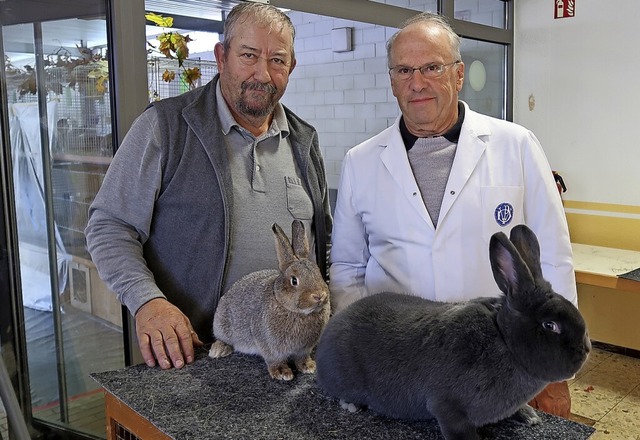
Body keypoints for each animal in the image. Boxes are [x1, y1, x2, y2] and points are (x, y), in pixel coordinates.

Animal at [209, 222, 330, 380]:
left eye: (318, 273)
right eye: (294, 280)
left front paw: (308, 366)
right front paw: (282, 373)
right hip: (222, 325)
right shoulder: (269, 346)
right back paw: (218, 350)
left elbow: (301, 358)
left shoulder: (304, 349)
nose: (319, 295)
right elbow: (274, 360)